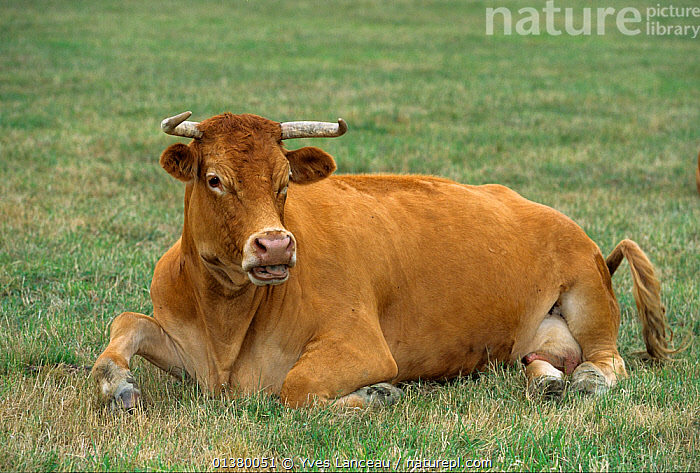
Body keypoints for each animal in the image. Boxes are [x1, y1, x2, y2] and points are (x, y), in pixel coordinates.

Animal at [91, 111, 680, 410]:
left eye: (284, 181)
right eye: (214, 179)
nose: (275, 245)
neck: (227, 325)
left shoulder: (360, 345)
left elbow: (296, 389)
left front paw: (374, 394)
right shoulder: (183, 344)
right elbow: (127, 325)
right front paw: (116, 384)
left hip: (586, 295)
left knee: (609, 362)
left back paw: (582, 382)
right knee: (540, 361)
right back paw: (544, 380)